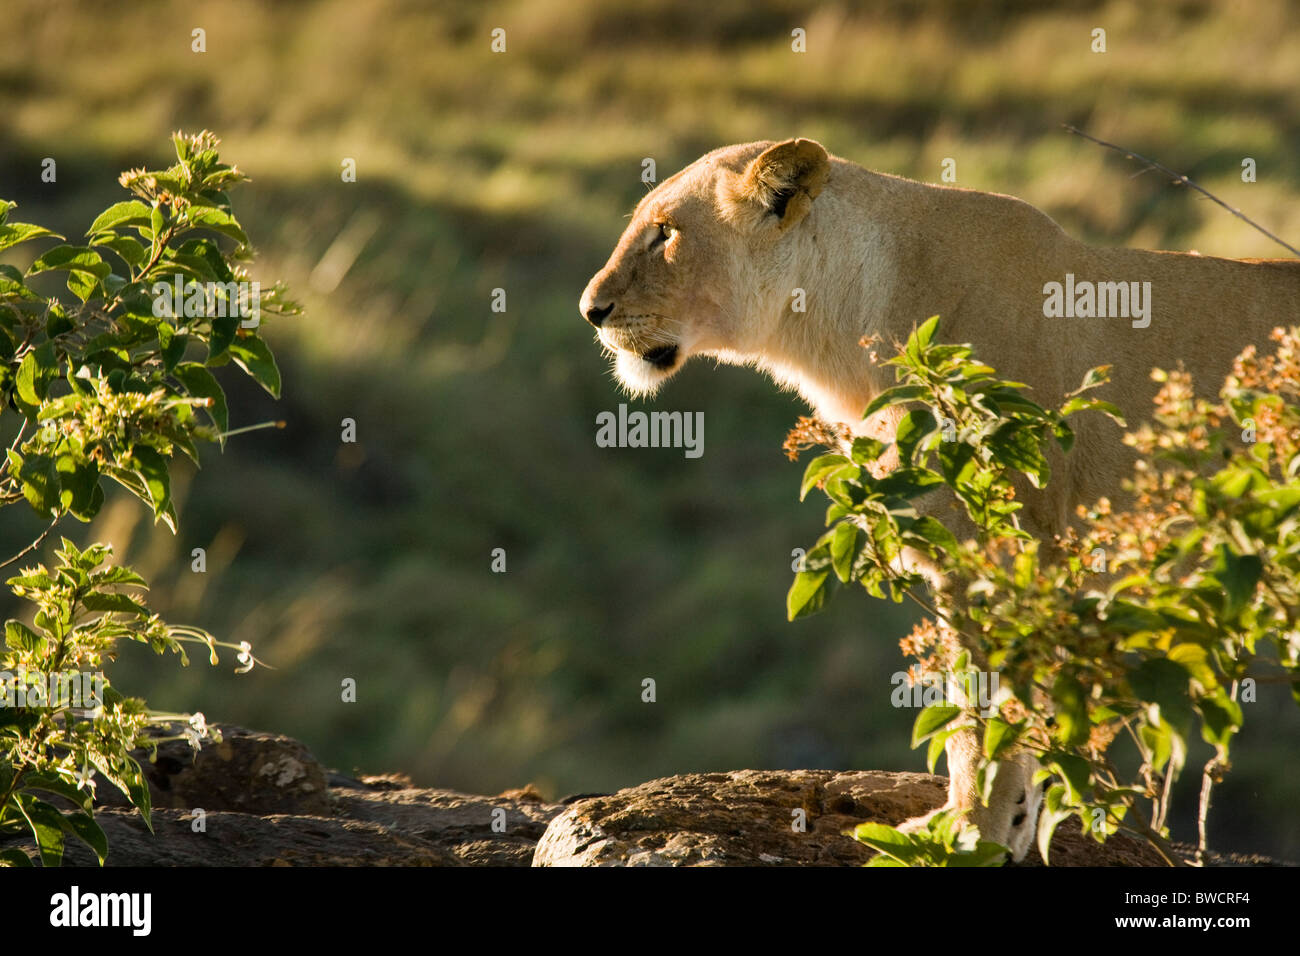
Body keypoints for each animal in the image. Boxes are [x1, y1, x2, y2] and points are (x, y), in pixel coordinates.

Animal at [579, 138, 1300, 862]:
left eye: (665, 233)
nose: (590, 310)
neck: (838, 339)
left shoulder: (1007, 554)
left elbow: (988, 714)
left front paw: (974, 829)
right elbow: (975, 709)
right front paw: (996, 819)